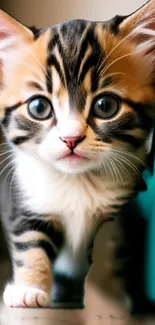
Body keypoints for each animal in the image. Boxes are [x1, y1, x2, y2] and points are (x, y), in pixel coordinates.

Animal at [0, 0, 155, 308]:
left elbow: (117, 255)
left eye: (106, 106)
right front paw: (28, 289)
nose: (70, 138)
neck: (79, 182)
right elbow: (29, 240)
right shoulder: (25, 197)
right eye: (39, 107)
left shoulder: (126, 211)